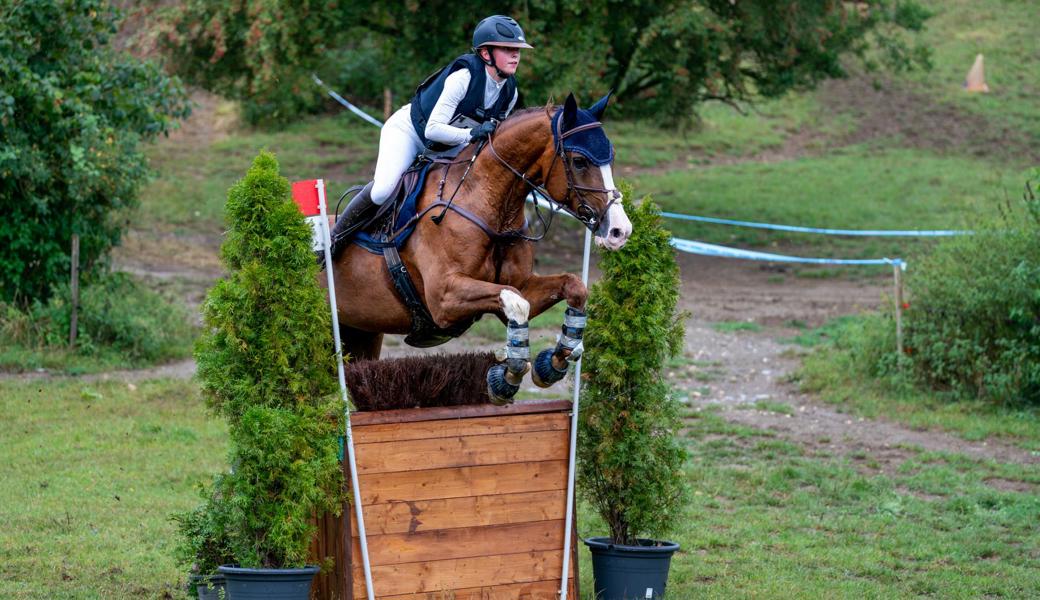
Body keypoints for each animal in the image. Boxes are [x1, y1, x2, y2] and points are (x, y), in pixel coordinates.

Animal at [320, 93, 628, 403]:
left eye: (612, 157)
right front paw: (507, 376)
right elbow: (516, 300)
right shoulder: (444, 298)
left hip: (362, 334)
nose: (619, 231)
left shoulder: (521, 285)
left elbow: (572, 287)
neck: (490, 207)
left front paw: (553, 363)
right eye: (579, 161)